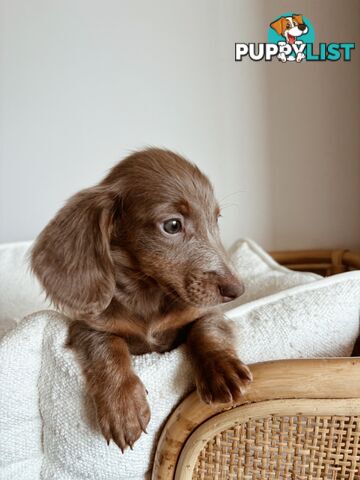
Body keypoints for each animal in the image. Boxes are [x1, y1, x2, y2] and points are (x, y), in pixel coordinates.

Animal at [31, 148, 252, 452]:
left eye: (216, 219)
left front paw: (222, 368)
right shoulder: (88, 327)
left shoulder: (203, 311)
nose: (236, 290)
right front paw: (123, 407)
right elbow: (108, 347)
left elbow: (206, 329)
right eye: (172, 225)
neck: (148, 294)